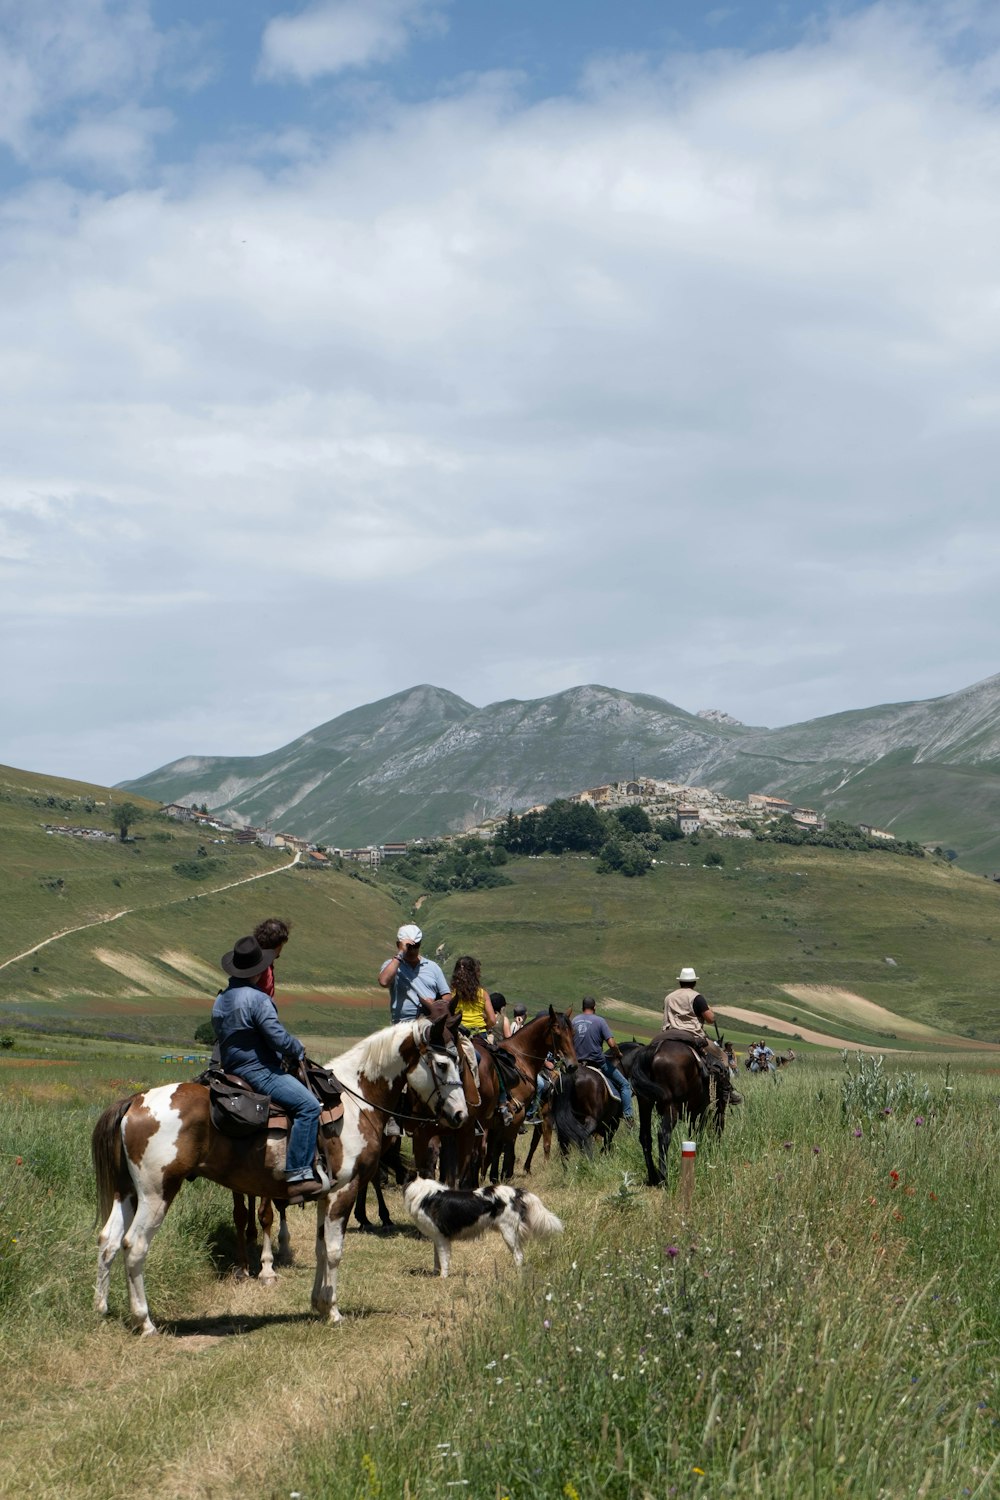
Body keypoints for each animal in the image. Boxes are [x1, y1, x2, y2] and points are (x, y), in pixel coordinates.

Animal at [91, 1014, 467, 1332]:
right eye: (443, 1063)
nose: (461, 1115)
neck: (355, 1099)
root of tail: (135, 1101)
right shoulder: (342, 1192)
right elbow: (334, 1251)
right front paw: (333, 1311)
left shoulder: (325, 1196)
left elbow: (320, 1248)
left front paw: (318, 1304)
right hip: (157, 1193)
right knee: (134, 1245)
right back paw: (144, 1322)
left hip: (127, 1193)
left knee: (109, 1239)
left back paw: (101, 1309)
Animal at [404, 1176, 563, 1272]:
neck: (423, 1194)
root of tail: (516, 1192)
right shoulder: (437, 1238)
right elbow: (437, 1259)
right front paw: (435, 1274)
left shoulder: (442, 1237)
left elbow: (443, 1260)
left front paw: (443, 1278)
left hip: (509, 1232)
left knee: (519, 1255)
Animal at [617, 1038, 728, 1188]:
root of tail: (654, 1051)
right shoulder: (702, 1112)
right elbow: (697, 1134)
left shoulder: (694, 1114)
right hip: (671, 1107)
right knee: (663, 1136)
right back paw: (664, 1178)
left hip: (645, 1103)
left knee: (645, 1137)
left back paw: (653, 1176)